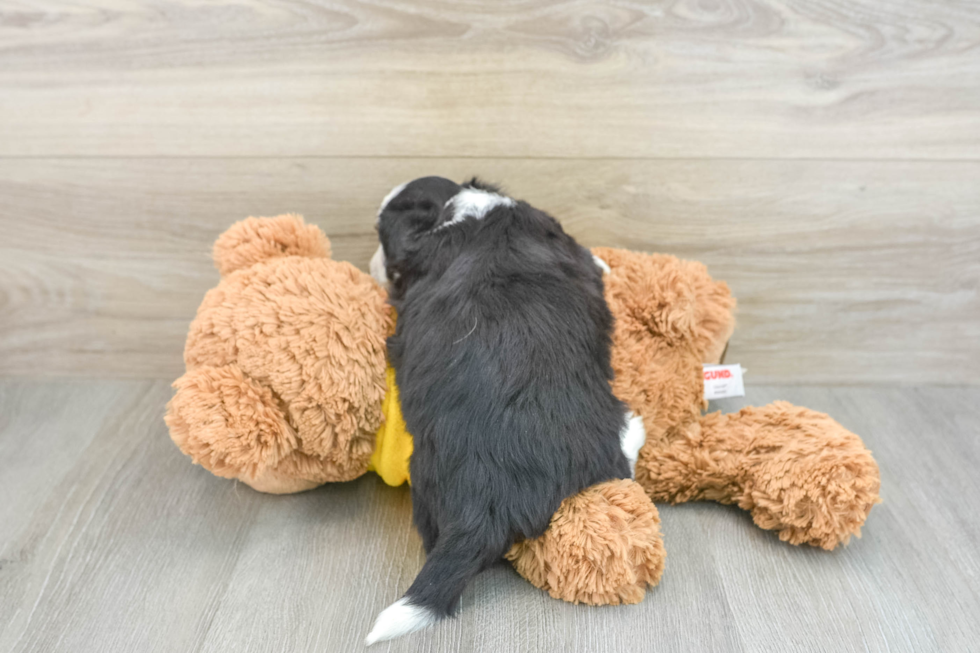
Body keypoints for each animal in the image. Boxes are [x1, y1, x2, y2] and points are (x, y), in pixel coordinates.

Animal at [366, 177, 644, 640]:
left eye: (382, 239)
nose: (371, 263)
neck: (457, 213)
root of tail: (484, 505)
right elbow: (590, 260)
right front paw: (606, 263)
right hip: (606, 435)